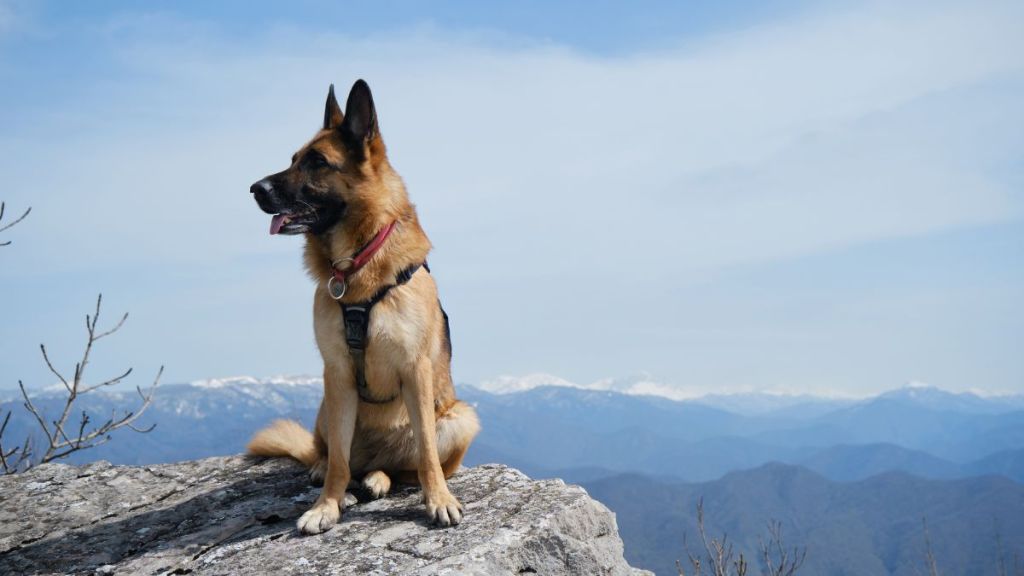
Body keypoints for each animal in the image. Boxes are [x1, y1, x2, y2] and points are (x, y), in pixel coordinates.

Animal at [245, 78, 477, 532]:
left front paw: (439, 499)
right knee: (335, 456)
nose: (254, 189)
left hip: (459, 418)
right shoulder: (336, 373)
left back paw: (381, 478)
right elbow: (338, 461)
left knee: (403, 468)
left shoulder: (415, 370)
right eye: (293, 159)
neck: (357, 263)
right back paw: (337, 472)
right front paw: (326, 505)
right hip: (325, 405)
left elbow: (426, 455)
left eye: (317, 162)